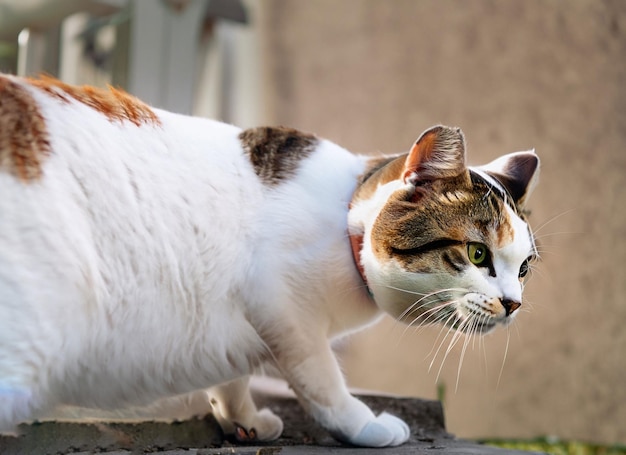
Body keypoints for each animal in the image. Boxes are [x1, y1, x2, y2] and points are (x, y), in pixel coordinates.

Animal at [0, 75, 536, 448]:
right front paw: (364, 426)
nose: (513, 304)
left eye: (524, 267)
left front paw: (243, 419)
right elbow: (321, 381)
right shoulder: (284, 306)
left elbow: (231, 375)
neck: (343, 225)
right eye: (478, 253)